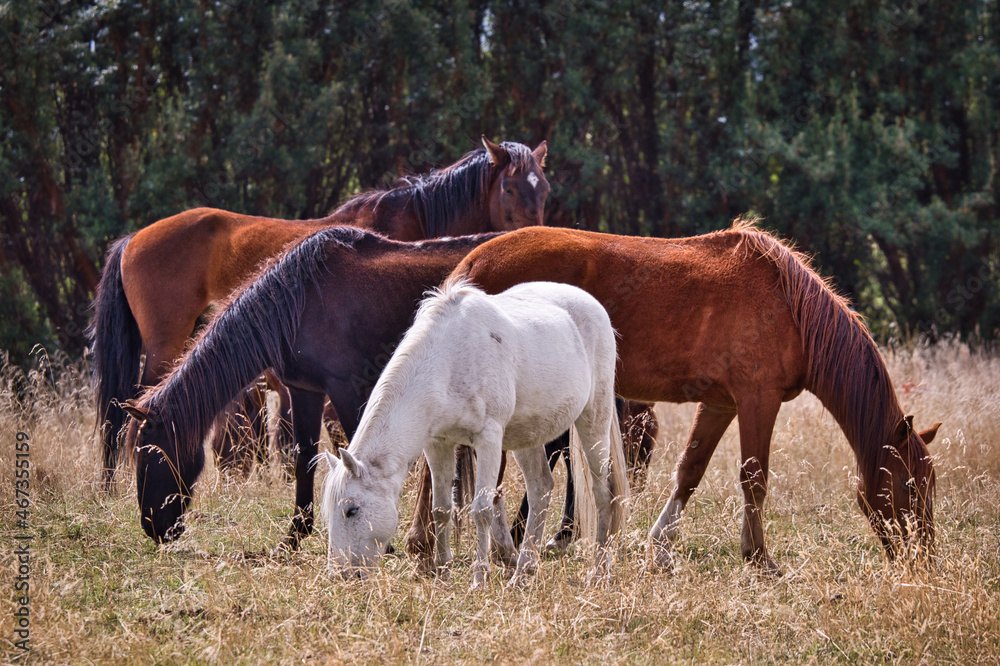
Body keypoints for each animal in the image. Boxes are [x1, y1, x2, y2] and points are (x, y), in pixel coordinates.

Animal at [91, 137, 549, 486]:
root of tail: (133, 238)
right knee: (132, 414)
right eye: (509, 189)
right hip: (165, 347)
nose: (537, 234)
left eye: (544, 189)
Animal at [121, 227, 516, 549]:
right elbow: (303, 458)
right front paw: (295, 534)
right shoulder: (305, 391)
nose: (154, 528)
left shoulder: (344, 388)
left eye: (153, 456)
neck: (300, 302)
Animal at [319, 280, 629, 587]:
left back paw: (599, 571)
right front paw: (443, 574)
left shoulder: (488, 439)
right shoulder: (438, 444)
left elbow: (481, 509)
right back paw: (523, 572)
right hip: (527, 435)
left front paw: (479, 579)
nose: (341, 575)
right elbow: (441, 509)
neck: (448, 361)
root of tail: (592, 304)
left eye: (352, 510)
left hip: (594, 418)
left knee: (602, 492)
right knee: (541, 488)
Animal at [406, 220, 941, 573]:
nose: (924, 557)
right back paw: (456, 550)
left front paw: (660, 543)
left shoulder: (722, 403)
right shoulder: (757, 399)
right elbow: (754, 480)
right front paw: (759, 558)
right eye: (910, 486)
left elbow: (691, 470)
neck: (789, 308)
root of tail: (471, 262)